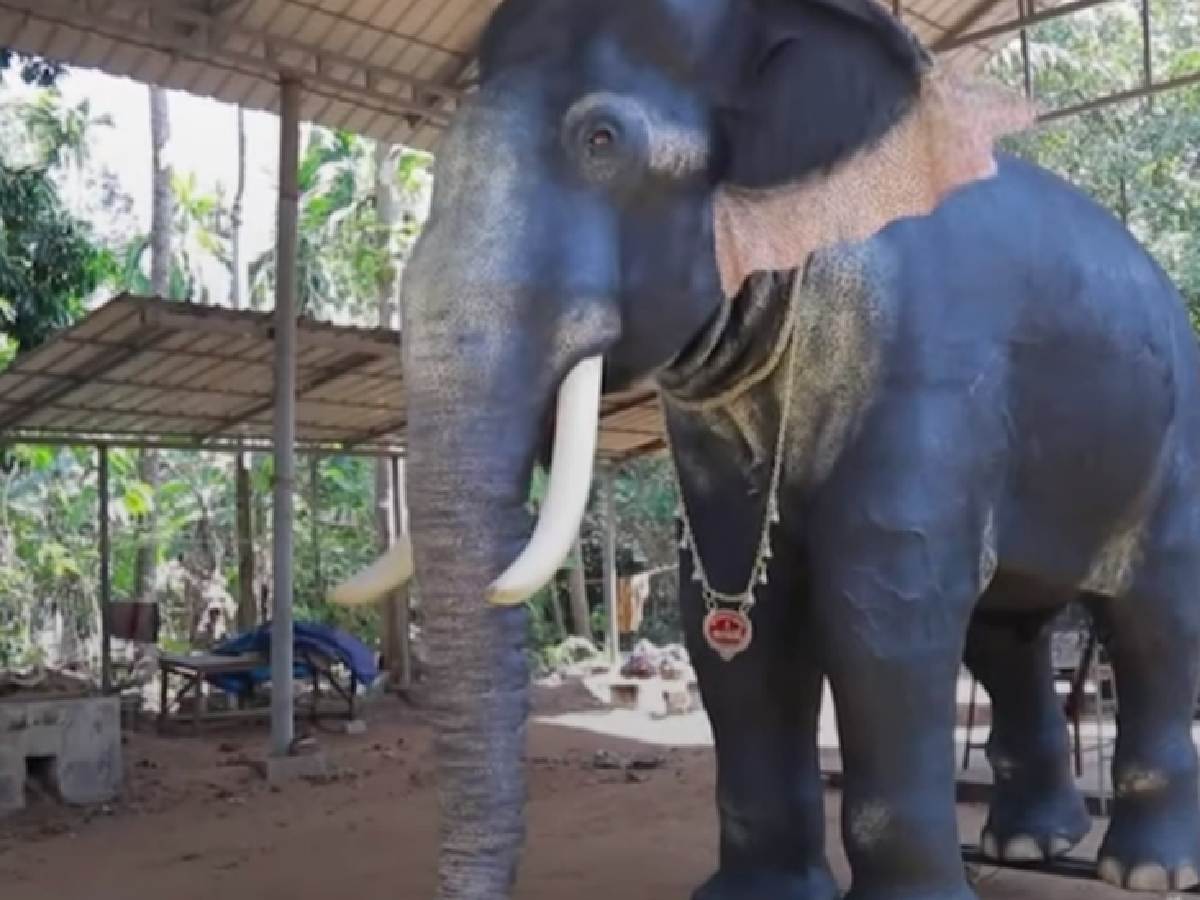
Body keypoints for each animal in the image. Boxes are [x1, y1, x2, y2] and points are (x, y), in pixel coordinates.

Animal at [332, 1, 1200, 898]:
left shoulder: (933, 361)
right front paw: (755, 894)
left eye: (603, 140)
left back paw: (1146, 869)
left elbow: (887, 605)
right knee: (1009, 632)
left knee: (1156, 624)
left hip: (1173, 450)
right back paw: (1026, 846)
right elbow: (731, 615)